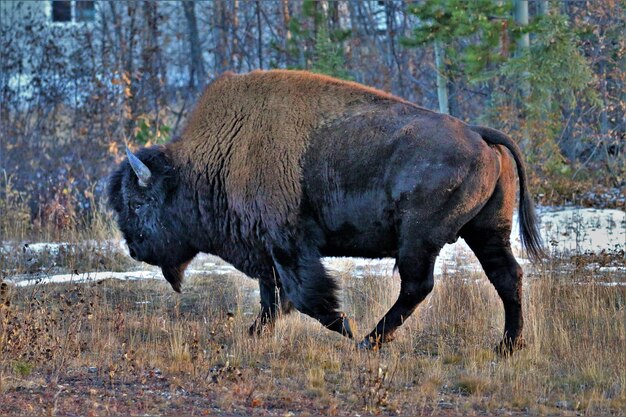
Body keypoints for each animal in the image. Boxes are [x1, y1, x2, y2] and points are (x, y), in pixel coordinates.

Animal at [107, 70, 540, 352]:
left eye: (138, 203)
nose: (135, 249)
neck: (220, 155)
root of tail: (477, 133)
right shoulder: (267, 251)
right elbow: (272, 297)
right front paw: (254, 334)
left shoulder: (287, 245)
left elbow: (303, 294)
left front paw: (343, 327)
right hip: (487, 230)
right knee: (506, 276)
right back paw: (508, 346)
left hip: (418, 238)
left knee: (418, 286)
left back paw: (367, 341)